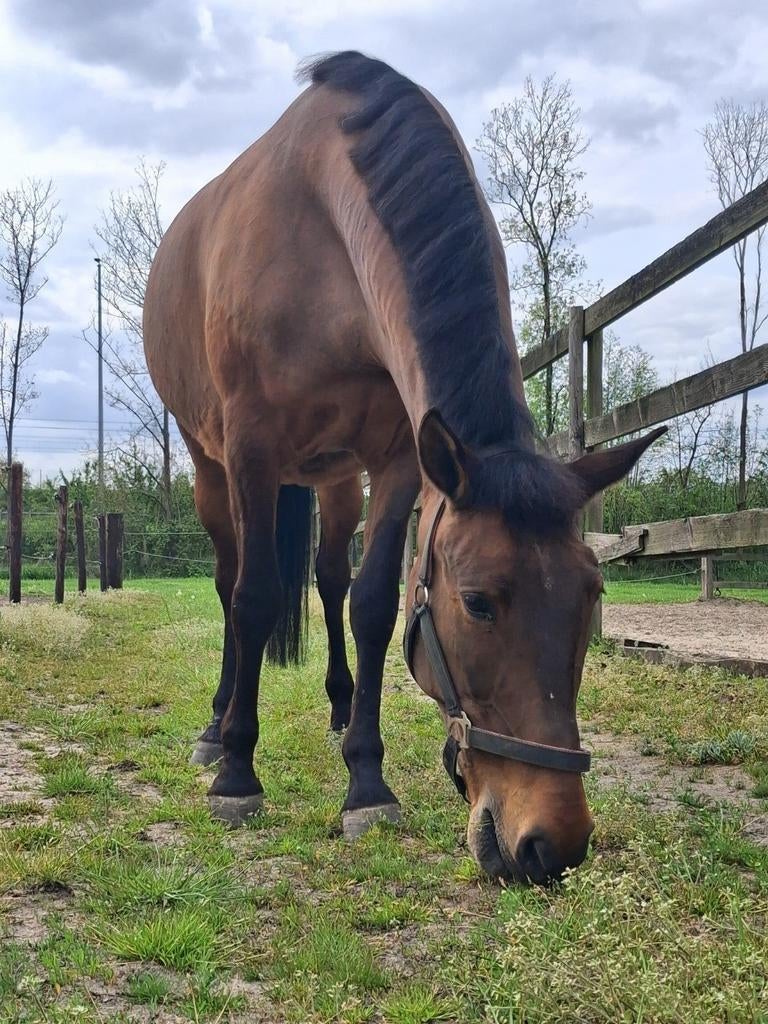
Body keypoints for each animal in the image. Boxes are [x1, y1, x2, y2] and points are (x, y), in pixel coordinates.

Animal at [143, 51, 664, 884]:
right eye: (478, 603)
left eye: (593, 596)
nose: (551, 843)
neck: (322, 235)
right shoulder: (252, 446)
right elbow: (255, 599)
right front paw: (237, 773)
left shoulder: (396, 460)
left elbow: (371, 605)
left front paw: (366, 781)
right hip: (210, 469)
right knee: (230, 585)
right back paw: (217, 727)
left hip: (331, 477)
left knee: (328, 579)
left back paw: (335, 705)